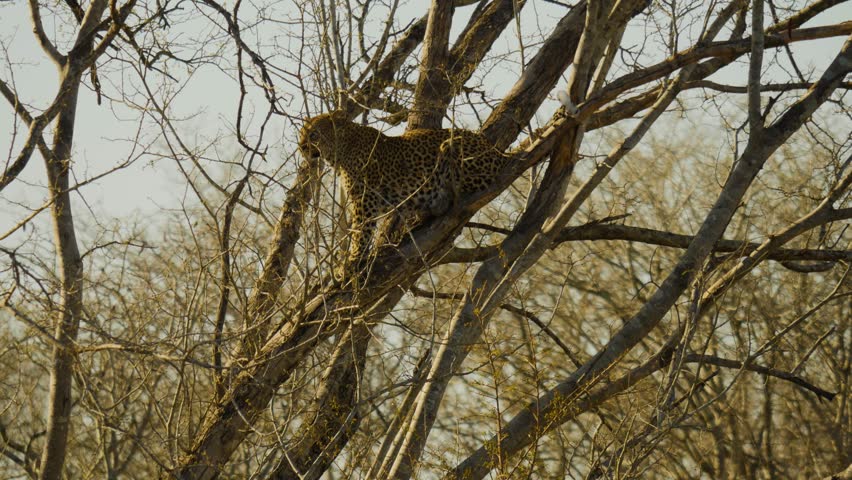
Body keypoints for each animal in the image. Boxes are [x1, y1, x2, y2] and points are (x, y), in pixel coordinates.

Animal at [298, 110, 505, 274]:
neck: (340, 151)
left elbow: (360, 231)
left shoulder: (364, 200)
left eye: (313, 135)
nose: (301, 147)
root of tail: (495, 151)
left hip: (451, 147)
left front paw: (351, 262)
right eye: (301, 134)